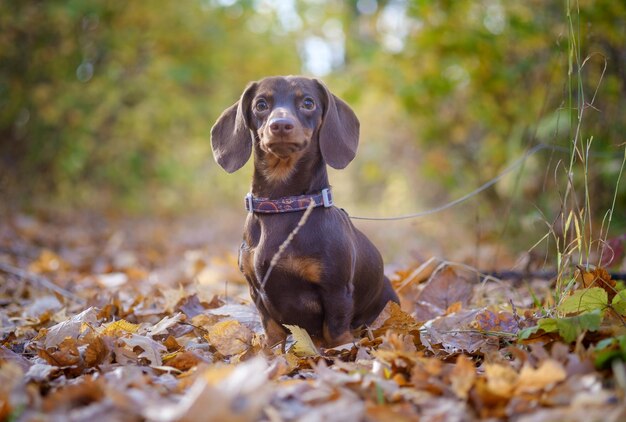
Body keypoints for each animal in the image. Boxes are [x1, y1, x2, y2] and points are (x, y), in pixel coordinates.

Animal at [208, 76, 394, 346]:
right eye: (261, 104)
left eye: (308, 102)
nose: (280, 125)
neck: (285, 205)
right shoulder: (256, 291)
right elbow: (272, 331)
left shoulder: (336, 290)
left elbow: (336, 331)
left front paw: (342, 351)